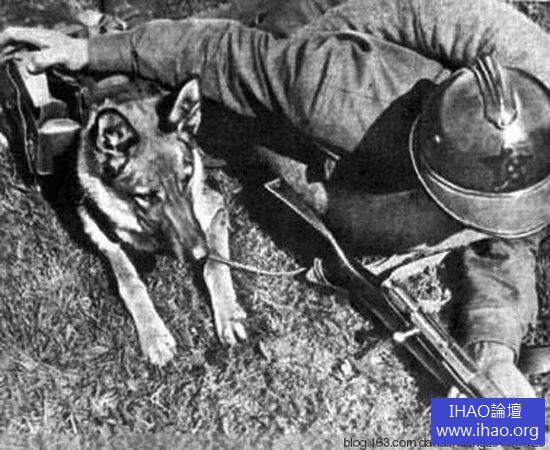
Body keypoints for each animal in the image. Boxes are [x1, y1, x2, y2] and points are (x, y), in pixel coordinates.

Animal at [76, 78, 247, 366]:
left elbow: (216, 265)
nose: (198, 255)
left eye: (186, 179)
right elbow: (130, 283)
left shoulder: (214, 208)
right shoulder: (100, 231)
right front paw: (153, 335)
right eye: (146, 196)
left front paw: (228, 313)